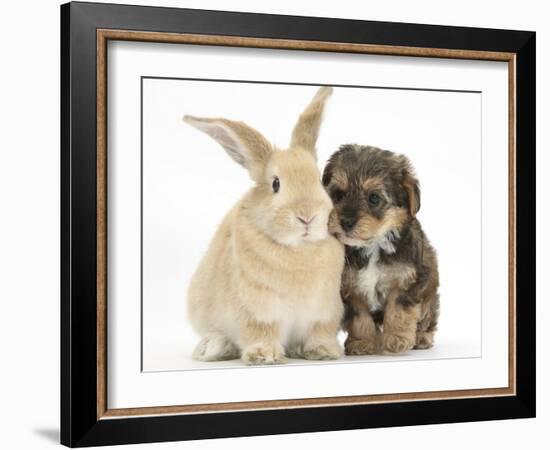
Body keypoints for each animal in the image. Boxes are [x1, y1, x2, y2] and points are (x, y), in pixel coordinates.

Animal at [183, 87, 342, 366]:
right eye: (276, 183)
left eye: (318, 180)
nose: (307, 217)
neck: (299, 249)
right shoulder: (257, 311)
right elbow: (260, 331)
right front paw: (264, 356)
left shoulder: (324, 312)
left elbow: (319, 332)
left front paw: (323, 351)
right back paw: (212, 348)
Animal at [324, 144, 440, 356]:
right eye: (338, 194)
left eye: (374, 198)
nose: (346, 222)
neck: (373, 244)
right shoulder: (350, 287)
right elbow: (359, 317)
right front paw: (362, 342)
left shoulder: (407, 280)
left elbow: (399, 310)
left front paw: (397, 339)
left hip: (429, 293)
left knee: (427, 317)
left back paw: (421, 338)